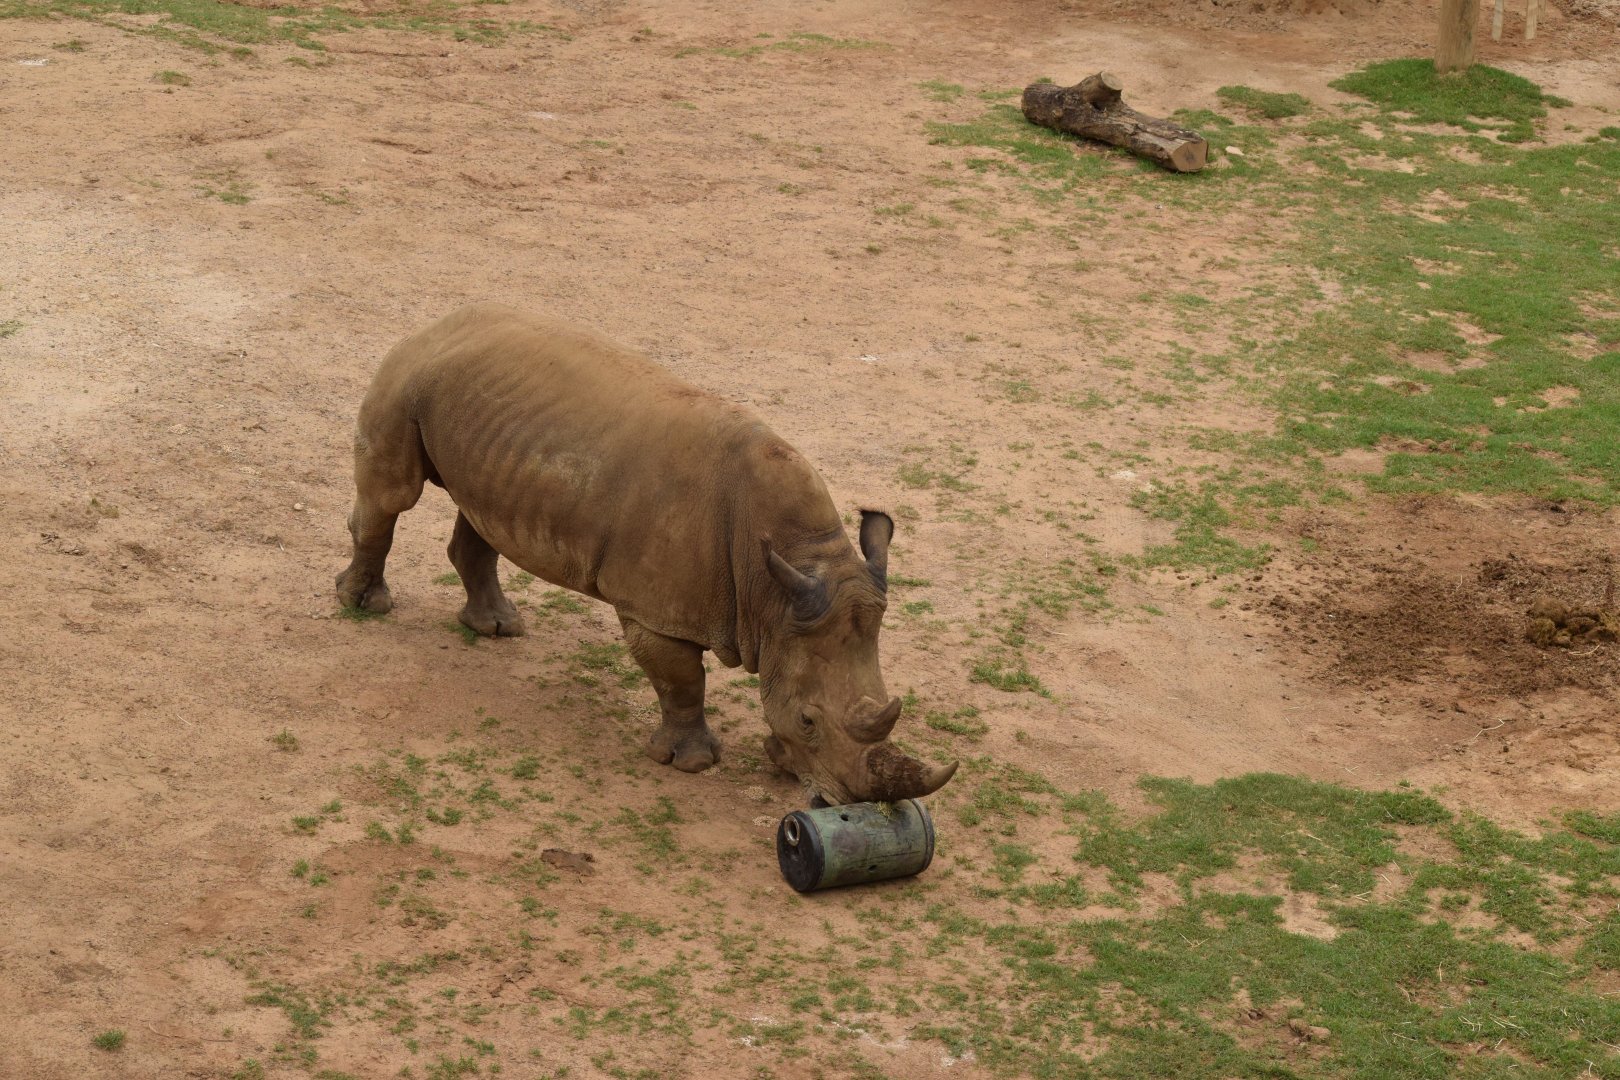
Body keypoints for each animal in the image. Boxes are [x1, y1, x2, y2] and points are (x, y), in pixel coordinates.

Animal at [335, 304, 957, 806]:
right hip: (409, 376)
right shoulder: (656, 611)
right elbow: (683, 680)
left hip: (488, 418)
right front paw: (691, 763)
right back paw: (363, 606)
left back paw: (496, 628)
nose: (850, 801)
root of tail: (437, 323)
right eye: (808, 720)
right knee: (395, 495)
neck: (780, 581)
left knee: (481, 510)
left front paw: (777, 761)